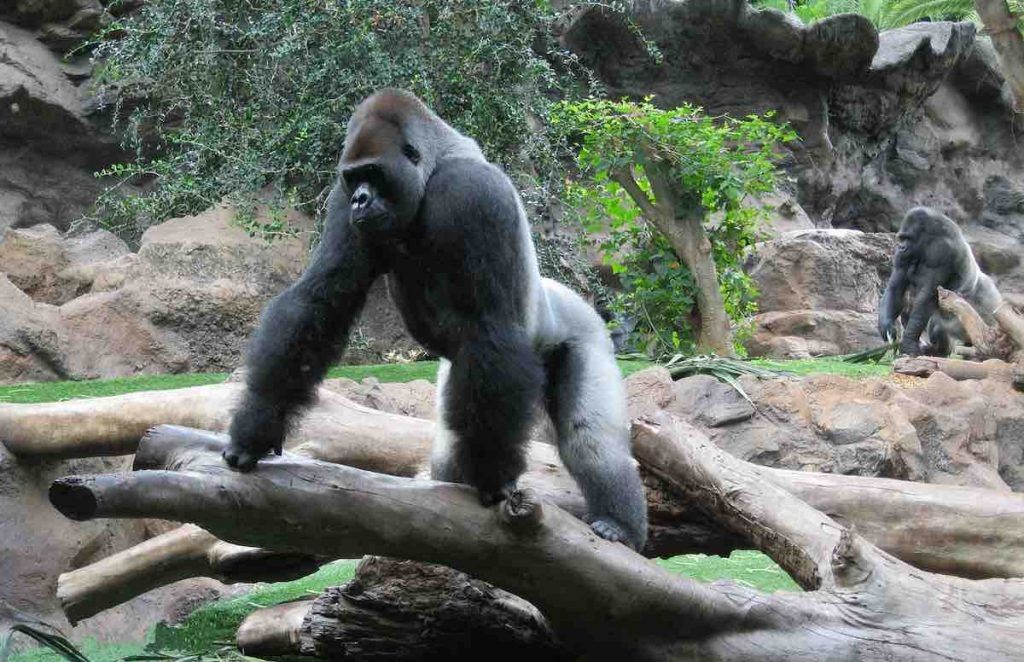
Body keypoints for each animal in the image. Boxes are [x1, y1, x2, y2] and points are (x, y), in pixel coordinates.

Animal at [224, 90, 647, 553]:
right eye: (353, 178)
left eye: (374, 173)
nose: (360, 199)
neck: (432, 169)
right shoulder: (340, 205)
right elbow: (321, 301)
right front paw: (255, 428)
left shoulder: (473, 194)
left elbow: (488, 326)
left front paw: (494, 476)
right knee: (451, 450)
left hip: (585, 333)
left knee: (588, 438)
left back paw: (619, 524)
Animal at [880, 207, 999, 358]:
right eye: (902, 238)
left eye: (909, 238)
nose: (901, 247)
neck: (927, 240)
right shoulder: (902, 256)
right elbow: (896, 287)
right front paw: (886, 325)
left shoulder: (941, 251)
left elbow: (926, 298)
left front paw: (908, 344)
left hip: (982, 312)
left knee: (938, 322)